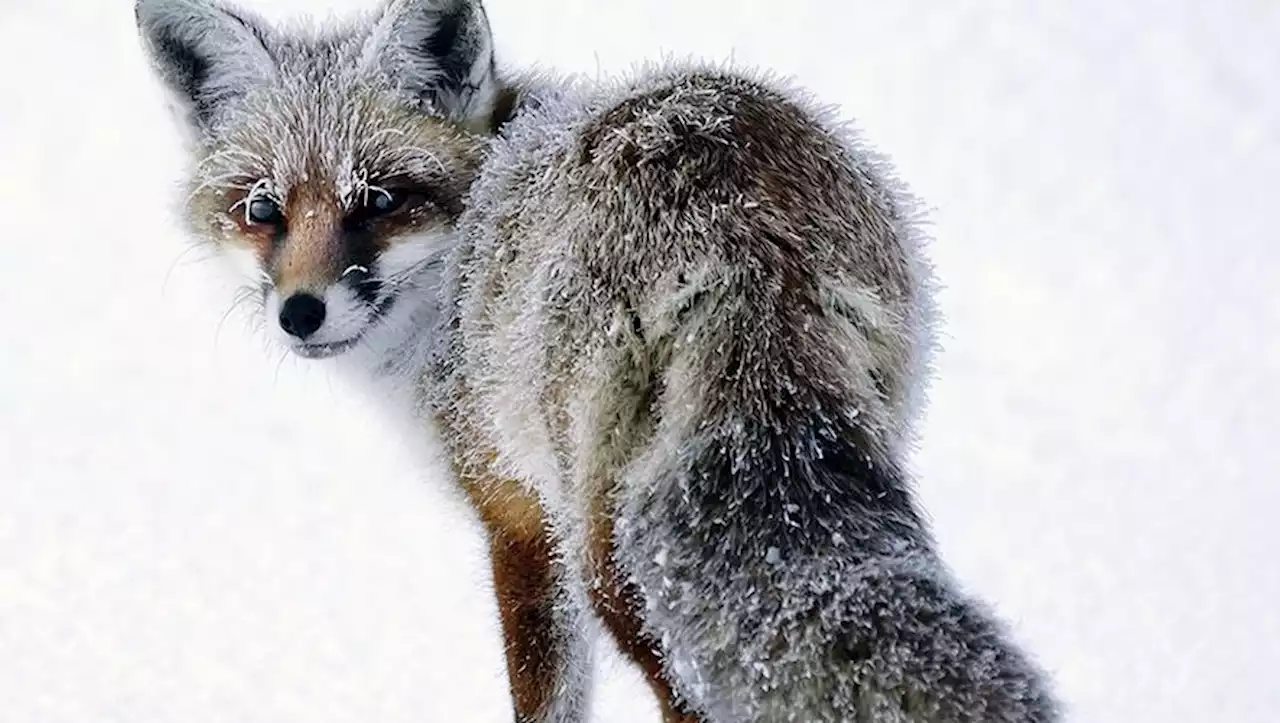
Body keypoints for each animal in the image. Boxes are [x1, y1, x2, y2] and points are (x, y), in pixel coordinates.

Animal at [135, 0, 1064, 716]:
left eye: (381, 200)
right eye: (262, 209)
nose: (301, 312)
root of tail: (742, 226)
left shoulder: (517, 515)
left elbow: (545, 699)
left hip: (615, 563)